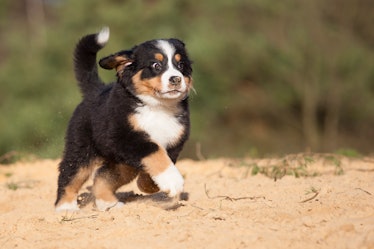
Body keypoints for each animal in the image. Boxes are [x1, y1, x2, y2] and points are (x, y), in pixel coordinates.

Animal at [54, 27, 193, 211]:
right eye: (156, 65)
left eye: (181, 65)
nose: (176, 79)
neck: (157, 107)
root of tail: (96, 91)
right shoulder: (127, 137)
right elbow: (156, 153)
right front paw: (173, 181)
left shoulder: (173, 142)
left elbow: (162, 160)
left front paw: (148, 185)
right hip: (82, 149)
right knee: (69, 173)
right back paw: (65, 207)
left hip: (122, 164)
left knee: (102, 176)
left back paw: (108, 203)